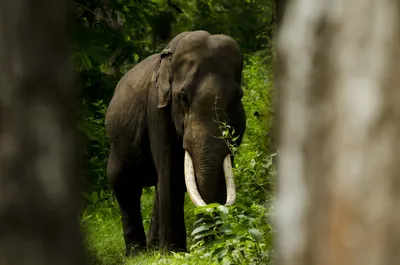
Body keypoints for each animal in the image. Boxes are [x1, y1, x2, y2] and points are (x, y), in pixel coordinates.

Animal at [104, 29, 245, 255]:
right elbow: (170, 171)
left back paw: (153, 248)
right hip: (117, 144)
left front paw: (213, 245)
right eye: (183, 97)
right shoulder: (156, 108)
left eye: (237, 97)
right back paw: (137, 252)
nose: (202, 244)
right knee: (123, 182)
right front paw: (173, 251)